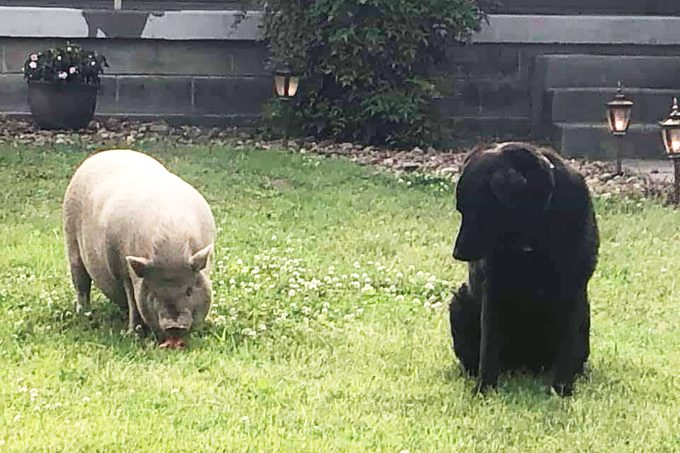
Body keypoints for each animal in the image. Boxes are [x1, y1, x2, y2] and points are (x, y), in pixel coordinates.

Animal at [63, 149, 216, 345]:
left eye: (189, 291)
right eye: (155, 294)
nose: (173, 326)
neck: (170, 244)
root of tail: (103, 154)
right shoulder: (124, 271)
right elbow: (134, 303)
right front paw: (132, 334)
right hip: (71, 241)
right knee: (81, 283)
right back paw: (85, 314)